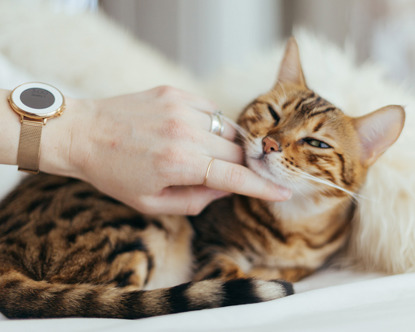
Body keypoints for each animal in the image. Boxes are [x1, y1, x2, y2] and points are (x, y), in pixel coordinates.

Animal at [0, 38, 404, 320]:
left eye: (316, 142)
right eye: (273, 113)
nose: (270, 143)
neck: (291, 227)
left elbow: (293, 269)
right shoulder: (209, 243)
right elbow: (229, 272)